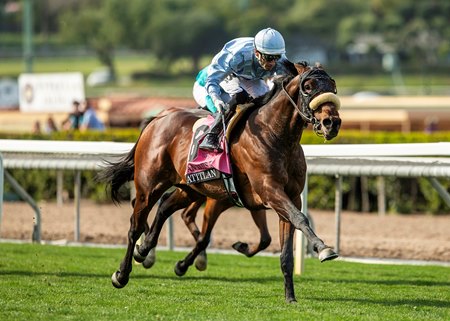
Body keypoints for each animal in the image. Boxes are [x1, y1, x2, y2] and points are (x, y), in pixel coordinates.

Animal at [99, 60, 342, 302]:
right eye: (308, 87)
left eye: (333, 85)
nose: (332, 122)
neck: (276, 136)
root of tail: (158, 118)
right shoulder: (268, 190)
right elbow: (300, 218)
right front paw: (323, 248)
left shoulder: (288, 196)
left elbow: (285, 250)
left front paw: (290, 296)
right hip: (149, 185)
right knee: (135, 225)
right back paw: (122, 273)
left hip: (190, 187)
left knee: (165, 207)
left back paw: (144, 251)